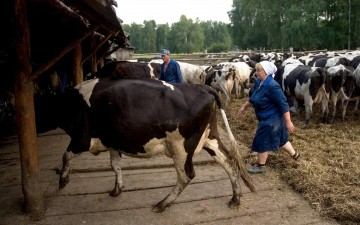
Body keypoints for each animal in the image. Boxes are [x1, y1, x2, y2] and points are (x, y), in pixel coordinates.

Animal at [33, 78, 255, 213]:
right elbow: (115, 165)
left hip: (180, 147)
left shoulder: (81, 138)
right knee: (228, 162)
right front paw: (117, 189)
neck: (70, 103)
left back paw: (163, 204)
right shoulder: (112, 143)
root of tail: (202, 86)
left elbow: (65, 156)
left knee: (186, 176)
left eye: (38, 108)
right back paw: (235, 198)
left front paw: (63, 180)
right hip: (210, 138)